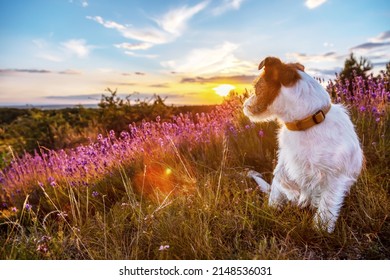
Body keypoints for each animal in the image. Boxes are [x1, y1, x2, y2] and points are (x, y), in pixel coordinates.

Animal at [244, 56, 362, 232]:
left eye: (256, 88)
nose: (243, 105)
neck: (305, 123)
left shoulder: (334, 177)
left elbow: (326, 206)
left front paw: (321, 229)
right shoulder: (286, 160)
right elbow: (281, 178)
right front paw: (289, 196)